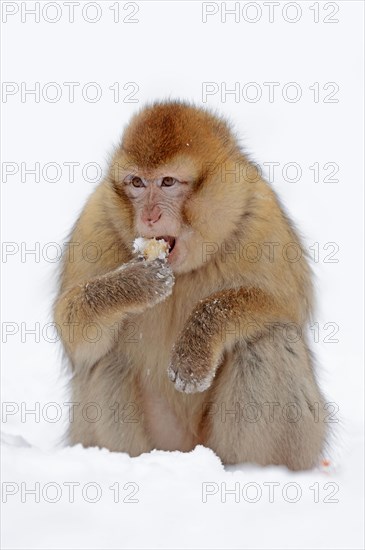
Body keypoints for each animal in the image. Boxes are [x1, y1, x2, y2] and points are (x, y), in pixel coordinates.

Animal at [54, 99, 328, 470]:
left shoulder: (260, 216)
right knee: (106, 359)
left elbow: (284, 306)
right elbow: (74, 333)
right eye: (136, 182)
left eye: (168, 182)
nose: (150, 215)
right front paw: (132, 284)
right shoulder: (96, 220)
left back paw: (251, 470)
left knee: (268, 339)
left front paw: (197, 343)